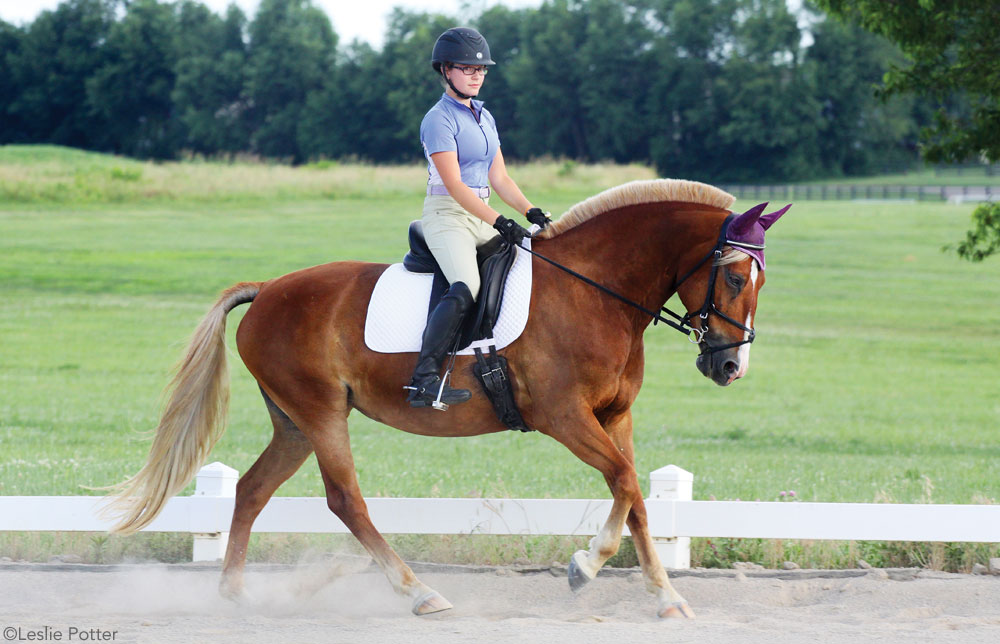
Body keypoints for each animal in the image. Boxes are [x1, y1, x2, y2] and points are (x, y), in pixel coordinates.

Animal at [103, 177, 788, 620]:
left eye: (760, 279)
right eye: (733, 275)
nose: (730, 365)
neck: (595, 291)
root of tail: (269, 288)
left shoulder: (614, 417)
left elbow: (637, 496)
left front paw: (666, 597)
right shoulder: (564, 417)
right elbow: (622, 480)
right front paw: (585, 567)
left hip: (294, 422)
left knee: (251, 490)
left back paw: (236, 595)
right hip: (321, 413)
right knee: (345, 500)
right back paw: (418, 593)